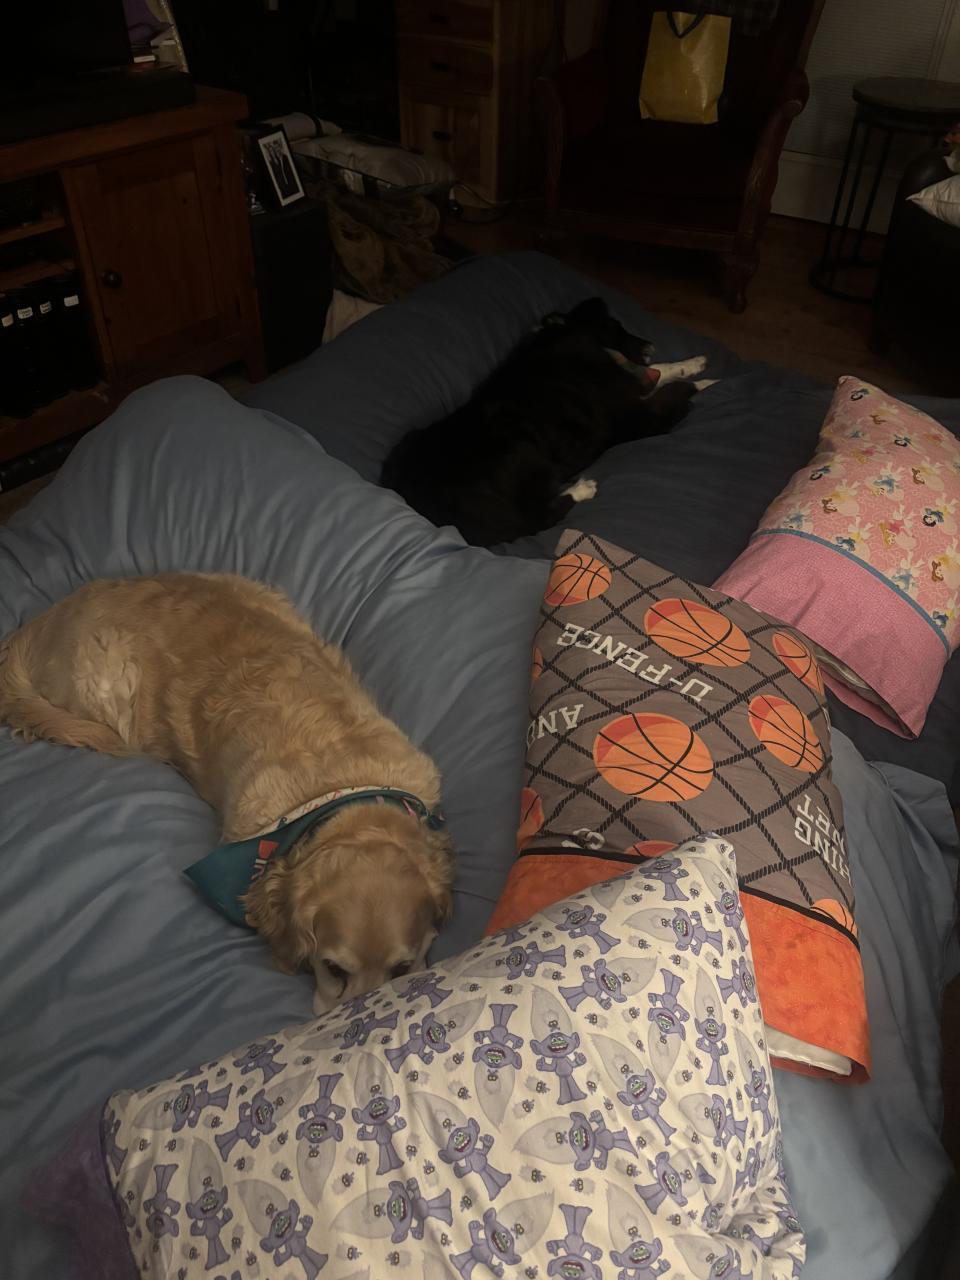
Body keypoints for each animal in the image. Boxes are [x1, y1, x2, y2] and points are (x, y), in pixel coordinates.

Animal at [381, 297, 713, 546]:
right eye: (616, 325)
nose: (650, 345)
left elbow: (665, 372)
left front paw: (694, 364)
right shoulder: (630, 418)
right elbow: (670, 394)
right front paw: (706, 384)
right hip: (518, 446)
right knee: (536, 519)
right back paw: (582, 489)